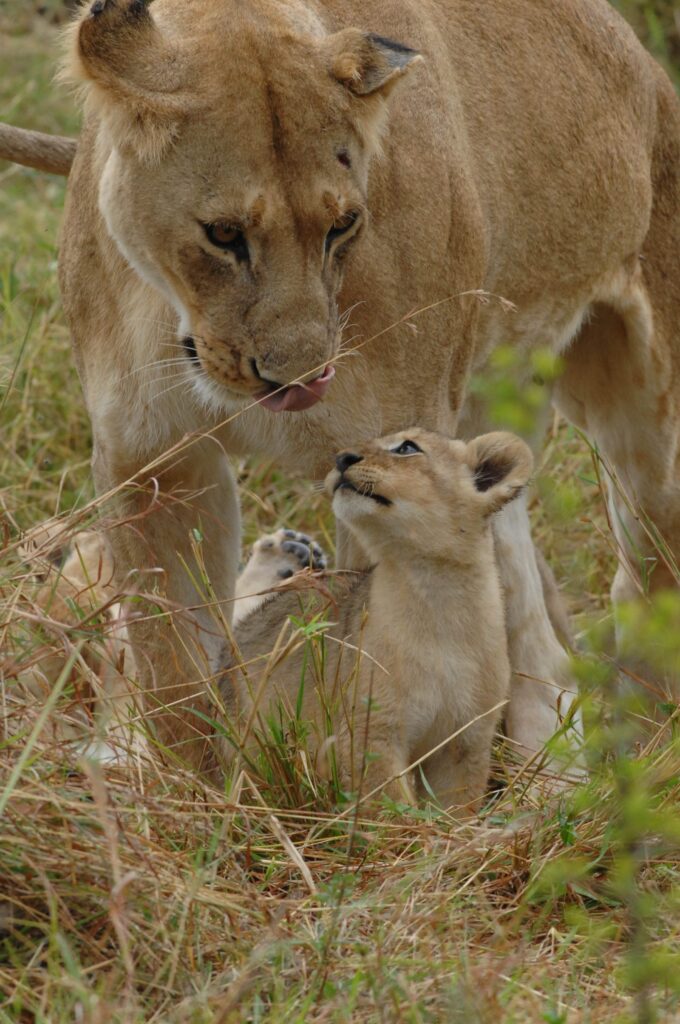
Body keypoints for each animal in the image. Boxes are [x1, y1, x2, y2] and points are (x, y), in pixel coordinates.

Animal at [3, 0, 680, 770]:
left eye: (343, 225)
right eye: (223, 233)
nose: (297, 380)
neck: (175, 318)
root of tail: (643, 61)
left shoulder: (390, 456)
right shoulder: (152, 463)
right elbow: (173, 669)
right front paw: (198, 787)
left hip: (646, 444)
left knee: (643, 577)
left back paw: (633, 764)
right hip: (486, 415)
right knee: (530, 618)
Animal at [220, 428, 533, 812]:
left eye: (407, 447)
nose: (341, 458)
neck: (435, 595)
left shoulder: (464, 742)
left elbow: (455, 809)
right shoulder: (370, 731)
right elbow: (390, 807)